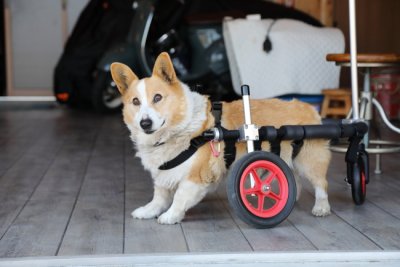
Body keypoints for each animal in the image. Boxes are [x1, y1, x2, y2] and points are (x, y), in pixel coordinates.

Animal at [110, 52, 332, 226]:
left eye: (157, 98)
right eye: (135, 102)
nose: (145, 123)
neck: (179, 130)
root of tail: (308, 107)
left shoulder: (196, 176)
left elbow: (179, 196)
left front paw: (171, 216)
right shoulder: (164, 173)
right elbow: (160, 195)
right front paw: (149, 211)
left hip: (309, 161)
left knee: (321, 184)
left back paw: (321, 208)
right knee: (295, 180)